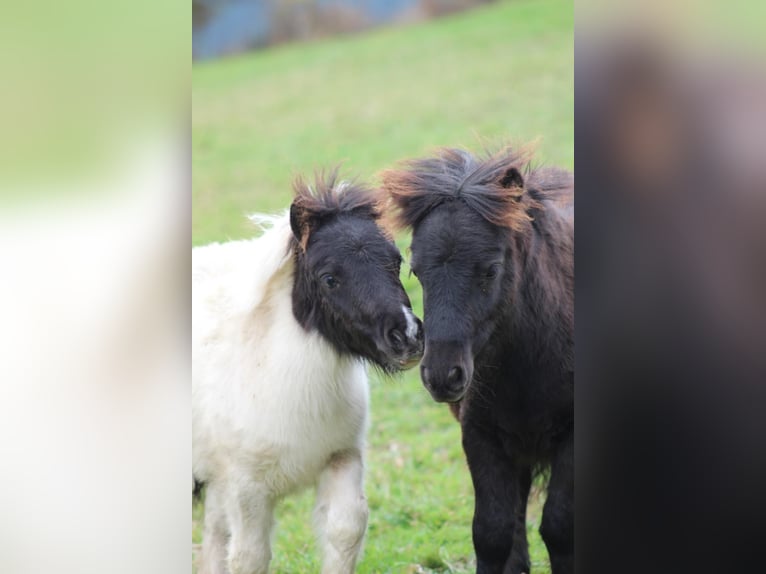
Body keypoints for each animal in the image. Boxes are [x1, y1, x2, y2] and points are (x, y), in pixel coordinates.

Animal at [192, 170, 424, 574]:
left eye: (396, 261)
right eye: (329, 277)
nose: (408, 336)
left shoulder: (342, 456)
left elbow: (346, 529)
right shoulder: (245, 487)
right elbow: (250, 557)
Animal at [381, 146, 573, 574]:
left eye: (491, 270)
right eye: (416, 271)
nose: (442, 375)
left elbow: (558, 527)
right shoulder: (482, 435)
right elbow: (492, 532)